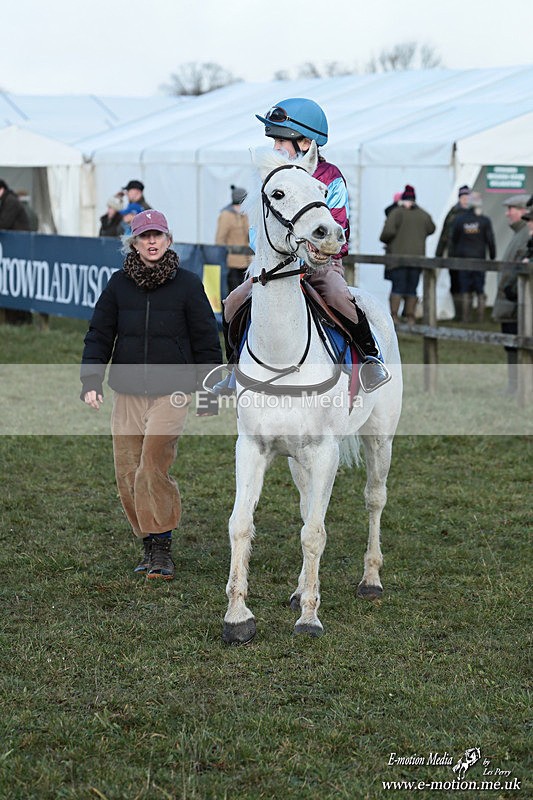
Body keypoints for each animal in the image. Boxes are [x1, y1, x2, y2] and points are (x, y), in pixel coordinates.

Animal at [222, 142, 403, 644]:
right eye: (278, 193)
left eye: (324, 193)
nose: (328, 233)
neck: (282, 356)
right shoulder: (253, 448)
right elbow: (242, 524)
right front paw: (238, 616)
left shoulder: (324, 451)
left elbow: (315, 532)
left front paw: (309, 617)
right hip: (296, 457)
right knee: (308, 505)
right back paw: (299, 589)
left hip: (379, 439)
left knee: (374, 498)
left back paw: (370, 580)